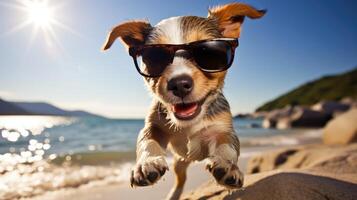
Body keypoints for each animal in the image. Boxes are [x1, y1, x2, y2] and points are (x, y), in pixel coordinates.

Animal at [102, 2, 264, 199]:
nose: (179, 84)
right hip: (179, 162)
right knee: (181, 179)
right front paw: (147, 163)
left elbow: (227, 146)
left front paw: (228, 167)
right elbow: (147, 141)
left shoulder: (223, 129)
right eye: (153, 57)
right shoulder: (154, 126)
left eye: (209, 53)